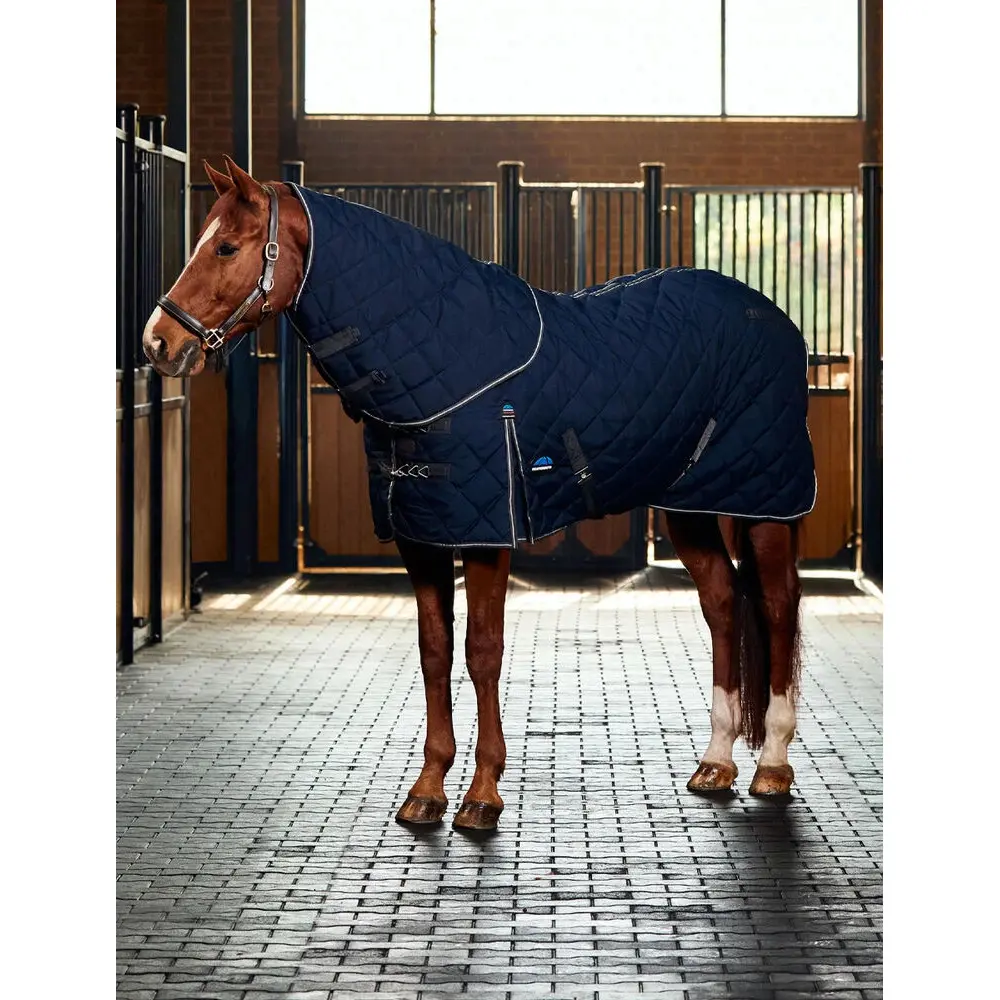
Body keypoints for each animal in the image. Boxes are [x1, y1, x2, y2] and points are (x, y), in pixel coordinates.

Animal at [142, 156, 810, 832]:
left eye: (226, 246)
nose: (158, 344)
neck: (448, 359)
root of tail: (773, 316)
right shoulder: (422, 535)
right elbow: (434, 651)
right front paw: (427, 789)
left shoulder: (487, 534)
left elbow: (482, 650)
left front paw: (483, 794)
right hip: (690, 508)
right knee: (723, 603)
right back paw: (716, 763)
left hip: (767, 502)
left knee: (779, 606)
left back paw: (773, 766)